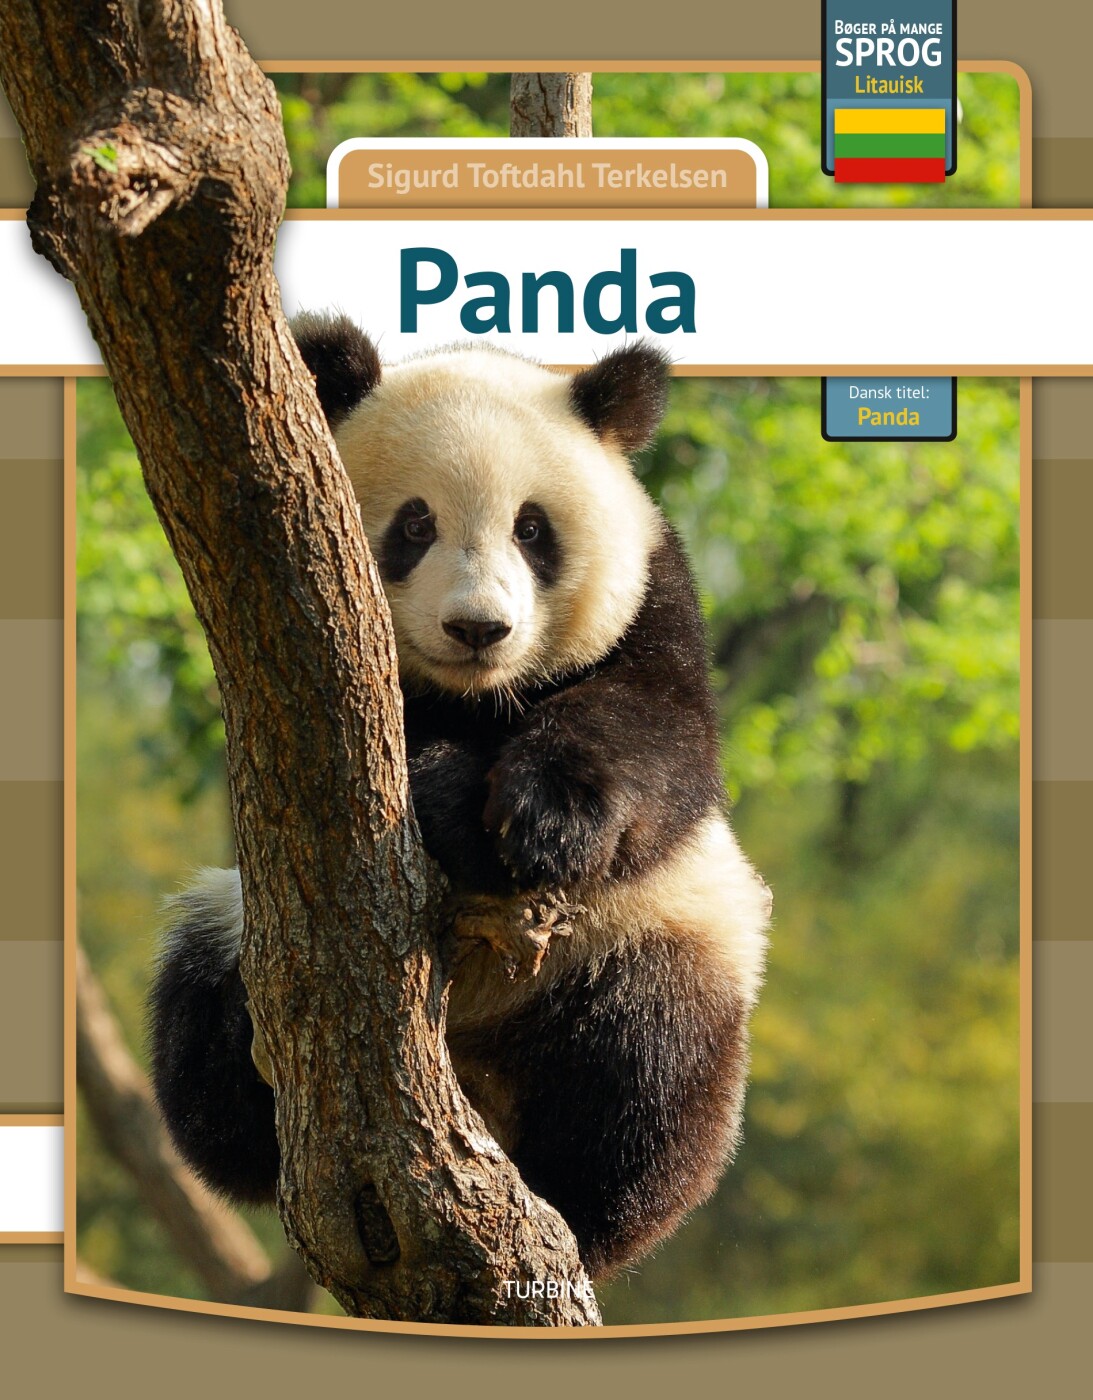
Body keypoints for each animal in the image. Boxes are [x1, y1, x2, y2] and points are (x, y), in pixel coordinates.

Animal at [148, 314, 771, 1283]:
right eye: (415, 523)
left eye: (532, 529)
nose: (478, 628)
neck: (478, 697)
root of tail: (476, 1078)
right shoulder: (282, 667)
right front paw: (447, 798)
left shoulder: (654, 600)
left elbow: (660, 740)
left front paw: (538, 819)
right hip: (241, 922)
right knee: (202, 1028)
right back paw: (250, 1082)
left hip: (649, 937)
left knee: (650, 1066)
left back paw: (581, 1209)